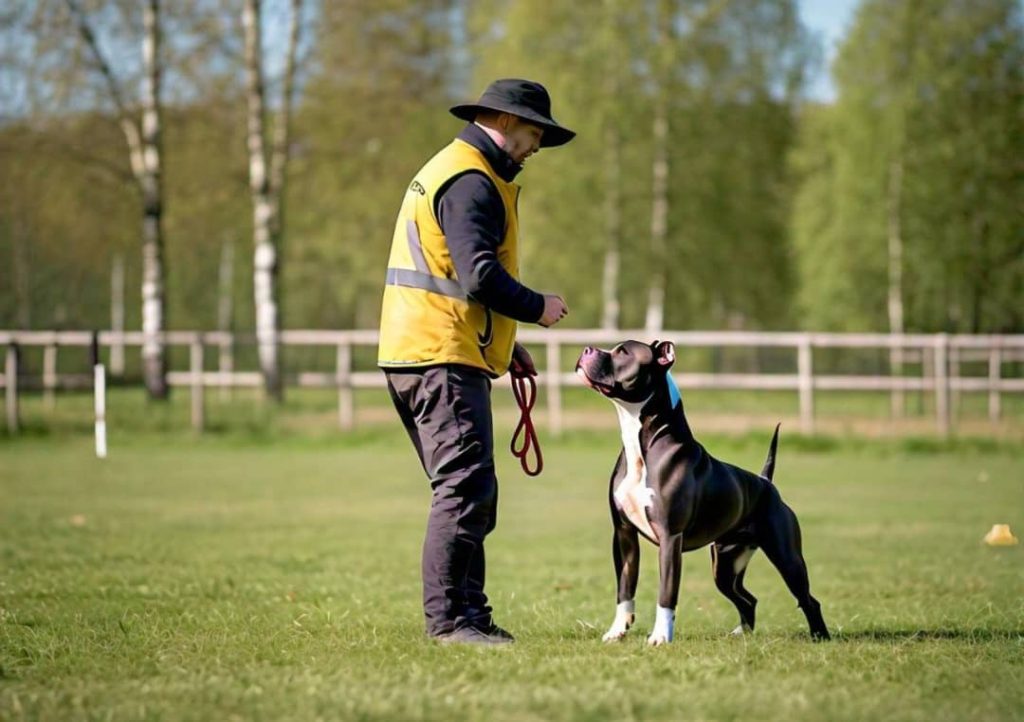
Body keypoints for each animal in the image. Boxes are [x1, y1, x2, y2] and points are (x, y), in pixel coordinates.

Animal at [577, 340, 831, 643]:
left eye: (624, 352)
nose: (587, 349)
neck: (641, 444)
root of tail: (765, 482)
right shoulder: (624, 535)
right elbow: (625, 590)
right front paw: (616, 632)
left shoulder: (670, 537)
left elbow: (666, 593)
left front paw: (660, 637)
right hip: (725, 566)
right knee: (748, 599)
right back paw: (741, 634)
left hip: (787, 558)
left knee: (808, 599)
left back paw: (820, 636)